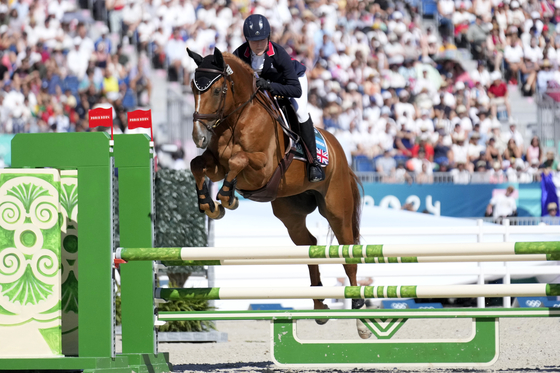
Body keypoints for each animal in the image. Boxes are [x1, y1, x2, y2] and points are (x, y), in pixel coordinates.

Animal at [188, 48, 370, 338]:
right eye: (193, 89)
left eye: (216, 91)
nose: (198, 137)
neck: (238, 117)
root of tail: (339, 150)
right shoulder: (216, 164)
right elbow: (198, 164)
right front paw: (210, 205)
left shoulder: (262, 169)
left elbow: (239, 160)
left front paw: (227, 198)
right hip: (290, 212)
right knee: (309, 245)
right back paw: (320, 307)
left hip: (337, 209)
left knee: (348, 253)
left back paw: (360, 319)